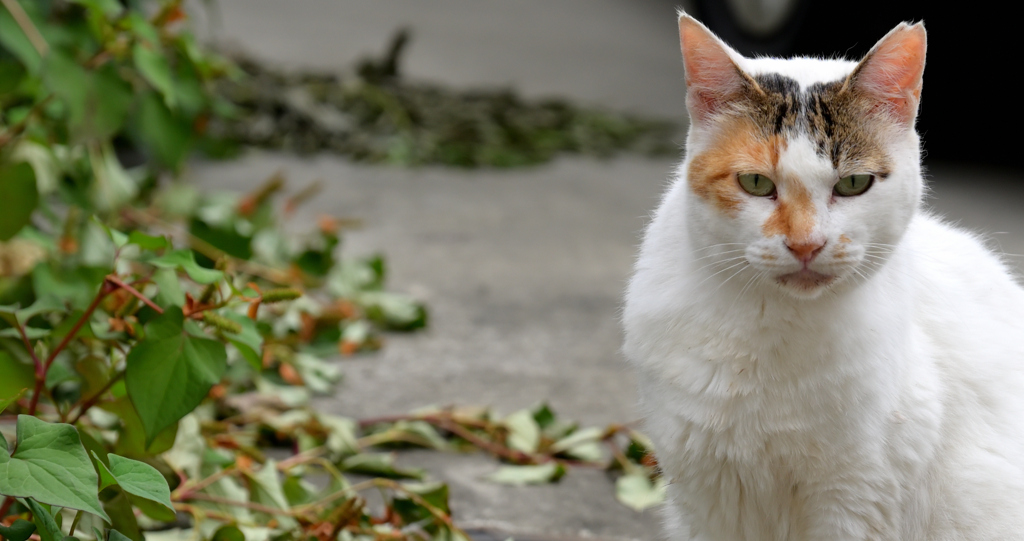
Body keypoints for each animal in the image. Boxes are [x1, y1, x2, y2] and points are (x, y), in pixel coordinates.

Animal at [618, 12, 1024, 541]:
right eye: (756, 183)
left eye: (853, 184)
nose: (806, 244)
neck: (773, 333)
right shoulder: (706, 498)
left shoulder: (854, 500)